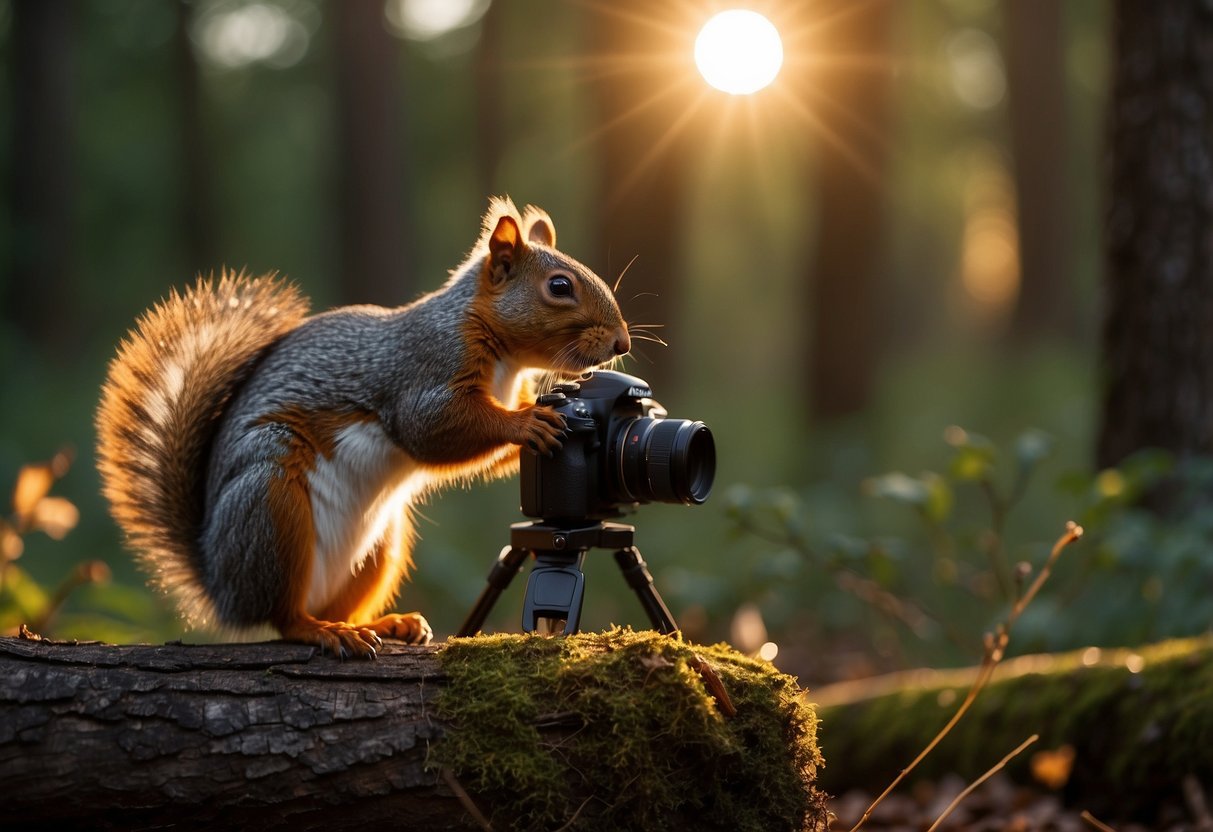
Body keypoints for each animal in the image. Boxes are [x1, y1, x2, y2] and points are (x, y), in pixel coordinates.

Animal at [95, 200, 630, 659]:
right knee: (283, 615)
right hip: (270, 501)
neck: (503, 356)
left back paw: (382, 624)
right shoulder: (423, 373)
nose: (622, 342)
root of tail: (218, 585)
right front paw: (528, 422)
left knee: (338, 605)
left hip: (382, 544)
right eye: (559, 287)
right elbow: (432, 430)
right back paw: (324, 631)